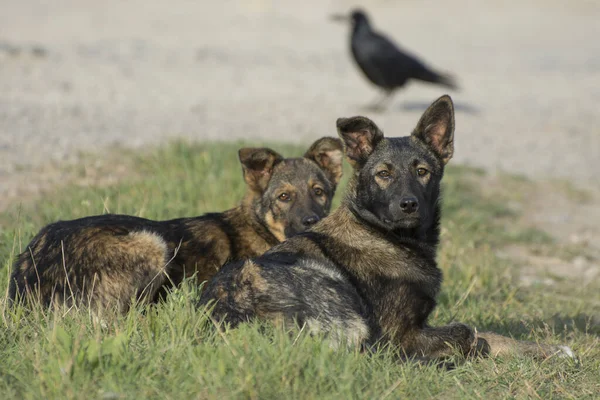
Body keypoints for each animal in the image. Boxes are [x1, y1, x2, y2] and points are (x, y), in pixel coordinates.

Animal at [200, 96, 572, 360]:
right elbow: (468, 333)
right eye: (383, 174)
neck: (383, 235)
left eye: (422, 172)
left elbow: (487, 335)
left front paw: (549, 350)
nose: (408, 204)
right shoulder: (398, 335)